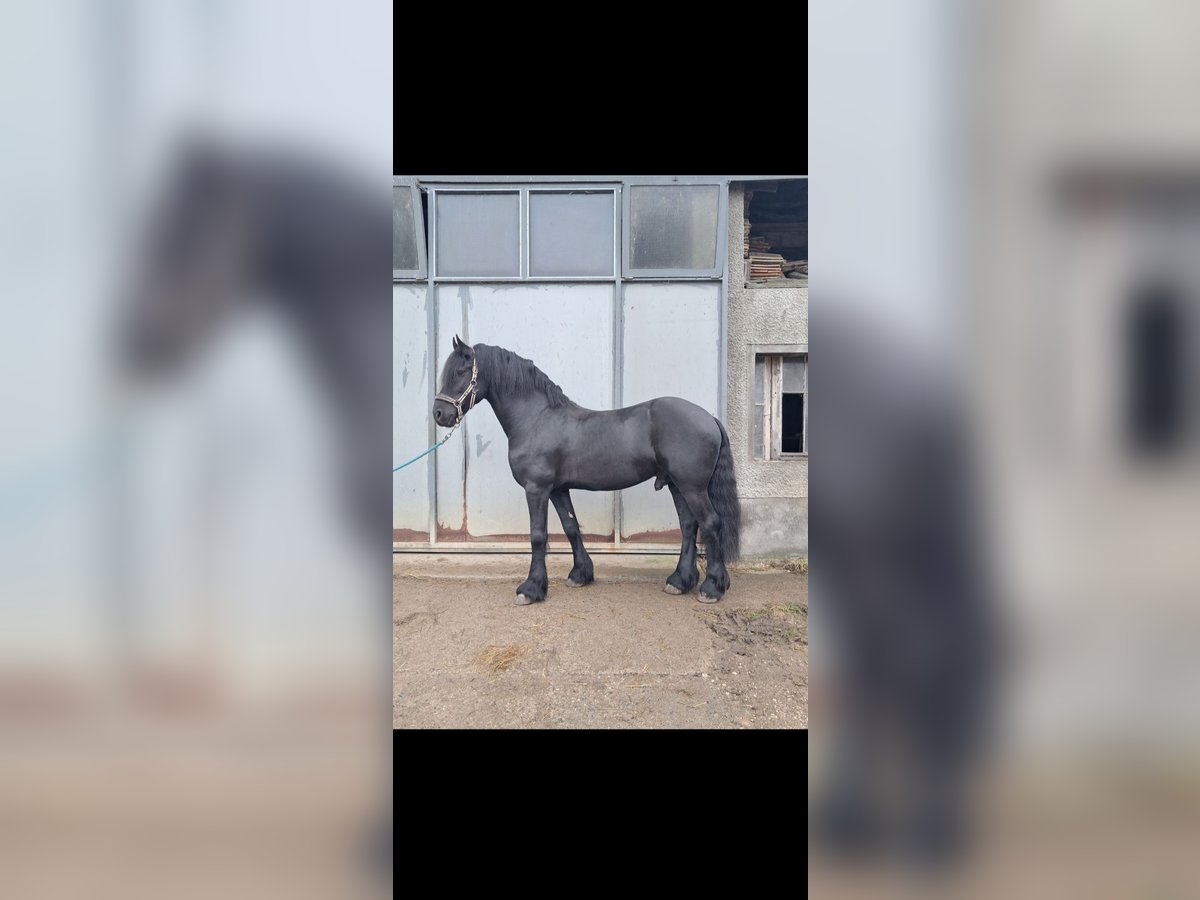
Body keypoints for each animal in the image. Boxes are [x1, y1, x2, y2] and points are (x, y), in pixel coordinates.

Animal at [433, 336, 742, 603]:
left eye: (460, 371)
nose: (439, 414)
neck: (537, 419)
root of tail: (709, 418)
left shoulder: (536, 489)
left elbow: (538, 535)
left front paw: (530, 589)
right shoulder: (558, 489)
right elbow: (571, 527)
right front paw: (580, 574)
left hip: (693, 487)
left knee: (711, 523)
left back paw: (712, 587)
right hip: (678, 485)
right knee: (689, 526)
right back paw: (679, 581)